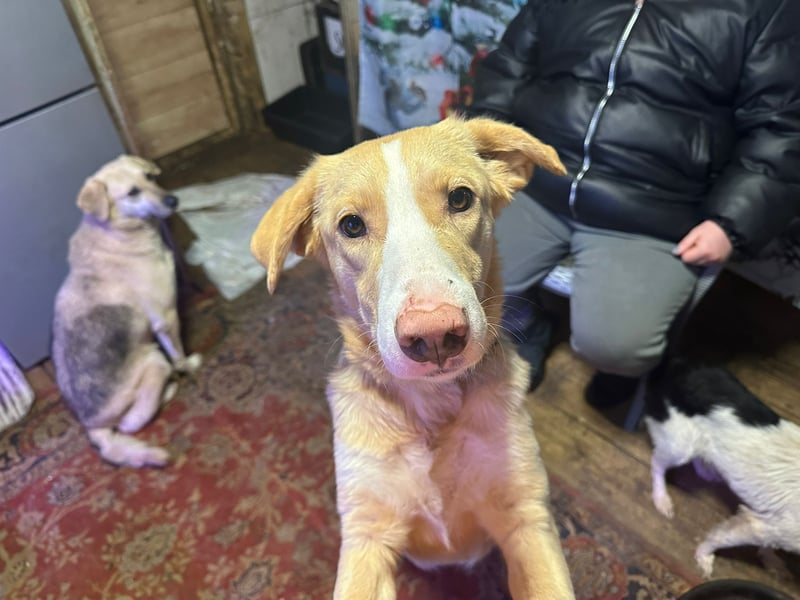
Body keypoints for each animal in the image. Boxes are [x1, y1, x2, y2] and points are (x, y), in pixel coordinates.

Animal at [52, 155, 201, 468]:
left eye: (150, 177)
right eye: (132, 193)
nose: (173, 200)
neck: (119, 231)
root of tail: (91, 426)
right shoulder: (166, 318)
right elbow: (179, 355)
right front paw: (189, 366)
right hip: (155, 359)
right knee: (132, 421)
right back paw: (170, 387)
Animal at [250, 117, 575, 599]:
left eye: (460, 198)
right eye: (351, 225)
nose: (435, 334)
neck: (432, 407)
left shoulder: (527, 516)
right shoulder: (367, 533)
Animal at [645, 359, 800, 578]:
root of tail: (677, 362)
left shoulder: (773, 523)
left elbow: (768, 543)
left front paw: (770, 559)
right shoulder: (762, 526)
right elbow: (721, 538)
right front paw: (703, 557)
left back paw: (711, 472)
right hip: (681, 445)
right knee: (657, 464)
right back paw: (662, 499)